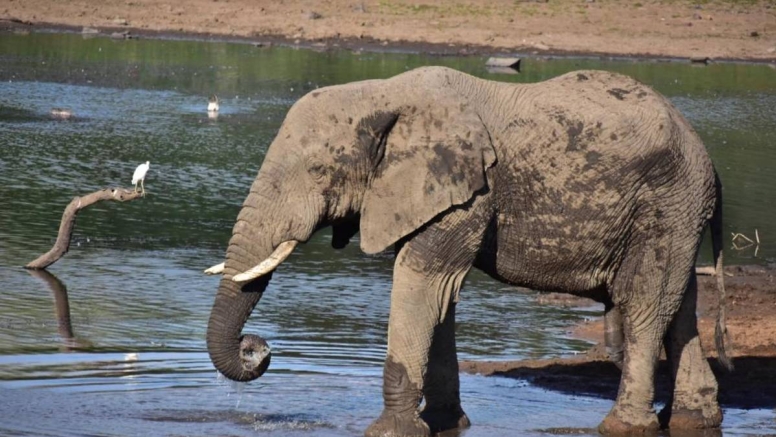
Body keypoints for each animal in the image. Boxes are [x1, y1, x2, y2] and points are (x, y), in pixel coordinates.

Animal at [203, 66, 732, 434]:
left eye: (318, 172)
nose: (257, 348)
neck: (385, 93)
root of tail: (704, 150)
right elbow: (440, 297)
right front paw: (447, 424)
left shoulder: (471, 190)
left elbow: (421, 279)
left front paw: (390, 432)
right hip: (678, 210)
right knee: (678, 306)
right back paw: (695, 418)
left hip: (667, 202)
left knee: (645, 304)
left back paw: (624, 426)